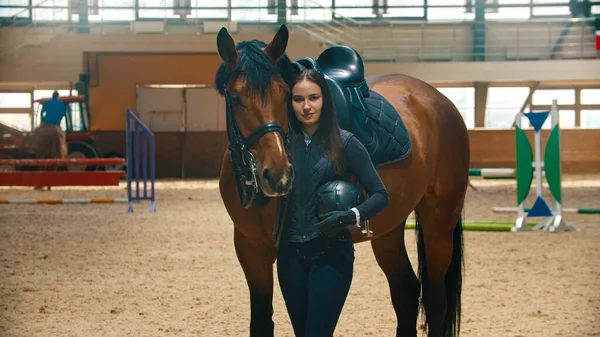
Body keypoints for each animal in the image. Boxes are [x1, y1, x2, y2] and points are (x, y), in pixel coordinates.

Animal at [213, 24, 472, 336]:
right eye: (236, 97)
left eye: (285, 94)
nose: (278, 175)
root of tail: (438, 99)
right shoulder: (251, 248)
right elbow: (262, 321)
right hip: (388, 228)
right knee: (407, 292)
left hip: (439, 224)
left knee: (435, 301)